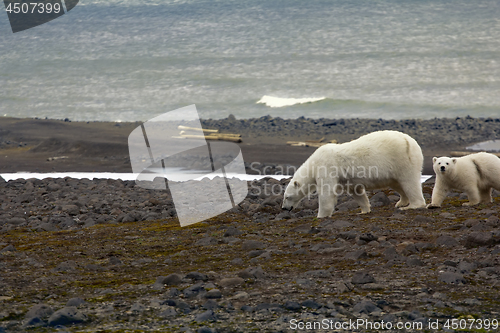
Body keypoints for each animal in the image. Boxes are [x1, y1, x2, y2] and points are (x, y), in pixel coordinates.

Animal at [282, 130, 426, 218]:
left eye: (287, 197)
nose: (284, 208)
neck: (314, 163)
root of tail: (412, 142)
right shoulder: (346, 179)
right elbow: (356, 191)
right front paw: (364, 210)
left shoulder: (327, 167)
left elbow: (326, 194)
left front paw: (321, 215)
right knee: (397, 183)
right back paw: (401, 202)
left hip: (403, 159)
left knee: (409, 182)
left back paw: (411, 206)